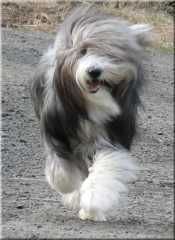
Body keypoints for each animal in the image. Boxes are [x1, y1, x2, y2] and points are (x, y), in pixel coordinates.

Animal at [30, 6, 151, 221]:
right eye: (83, 51)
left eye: (109, 53)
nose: (94, 71)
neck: (91, 103)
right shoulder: (58, 131)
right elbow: (62, 167)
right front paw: (68, 187)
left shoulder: (113, 134)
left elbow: (106, 166)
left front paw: (94, 200)